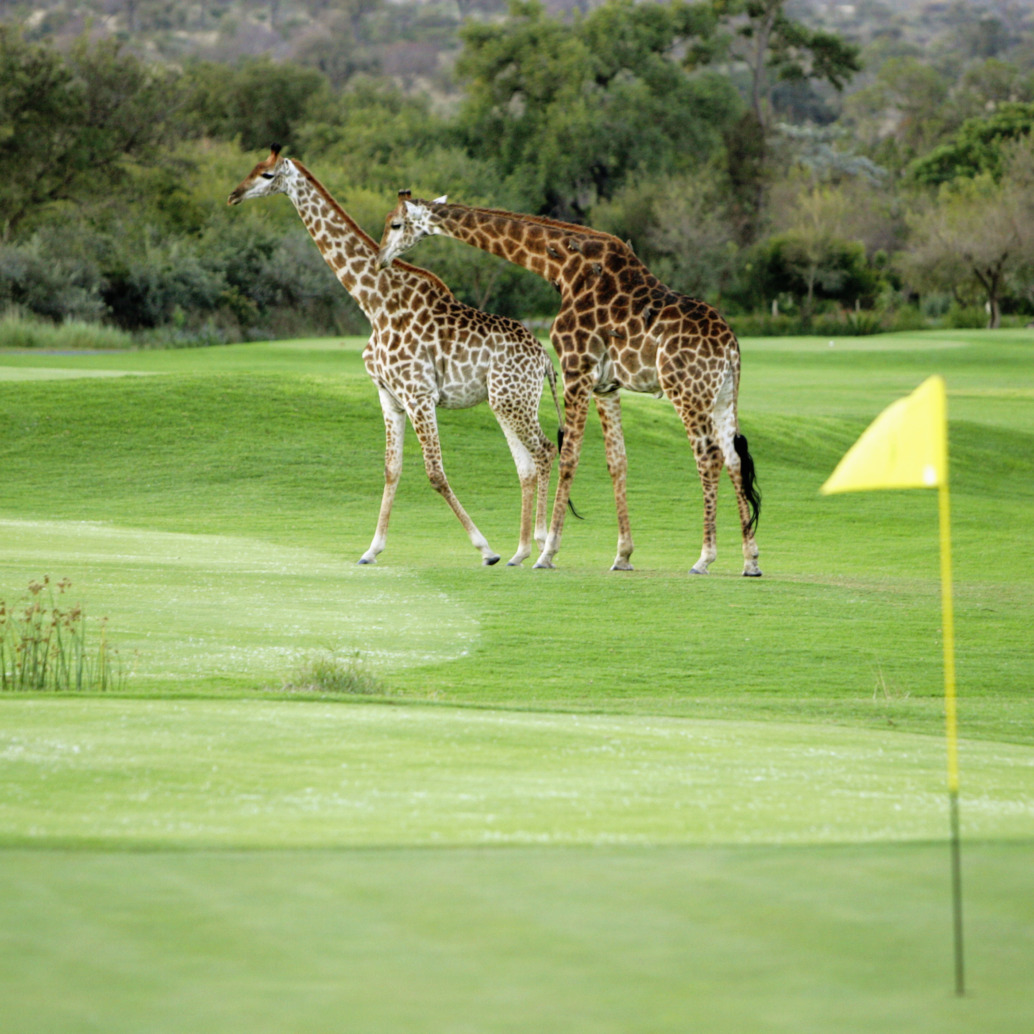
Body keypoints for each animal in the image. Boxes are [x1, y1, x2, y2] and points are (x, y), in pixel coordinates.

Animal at [228, 148, 562, 567]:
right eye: (252, 168)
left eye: (267, 174)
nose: (233, 195)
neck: (376, 305)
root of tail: (545, 359)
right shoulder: (389, 396)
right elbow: (391, 469)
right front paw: (371, 549)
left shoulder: (419, 395)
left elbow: (434, 472)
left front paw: (485, 549)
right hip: (504, 401)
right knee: (527, 466)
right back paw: (521, 551)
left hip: (514, 399)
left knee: (546, 451)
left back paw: (542, 547)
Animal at [378, 194, 761, 576]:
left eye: (395, 224)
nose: (382, 258)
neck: (562, 268)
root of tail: (731, 348)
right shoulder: (606, 385)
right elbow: (616, 461)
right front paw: (622, 555)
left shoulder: (576, 369)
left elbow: (568, 458)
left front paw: (547, 552)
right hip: (722, 396)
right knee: (733, 459)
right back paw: (750, 559)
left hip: (687, 392)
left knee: (709, 457)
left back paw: (704, 557)